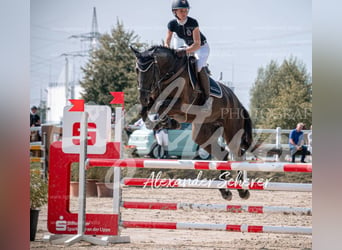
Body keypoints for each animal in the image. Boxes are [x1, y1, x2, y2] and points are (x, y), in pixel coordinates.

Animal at [131, 45, 254, 201]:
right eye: (136, 69)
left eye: (150, 69)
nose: (142, 97)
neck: (170, 73)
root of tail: (237, 100)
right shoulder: (153, 99)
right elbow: (145, 110)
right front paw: (160, 123)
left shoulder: (182, 104)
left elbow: (161, 106)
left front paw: (169, 122)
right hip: (202, 134)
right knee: (222, 154)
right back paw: (225, 191)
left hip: (232, 130)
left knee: (237, 154)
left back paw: (242, 190)